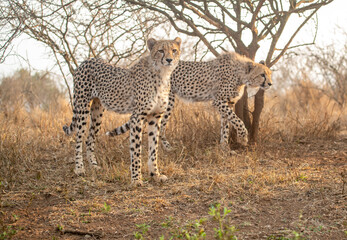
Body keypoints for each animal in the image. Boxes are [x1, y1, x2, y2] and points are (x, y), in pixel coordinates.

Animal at [63, 37, 182, 186]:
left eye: (174, 50)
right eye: (161, 50)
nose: (169, 60)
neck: (162, 74)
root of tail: (88, 59)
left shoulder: (155, 117)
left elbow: (153, 149)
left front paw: (155, 175)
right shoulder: (137, 117)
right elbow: (136, 151)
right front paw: (136, 179)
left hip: (97, 111)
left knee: (89, 139)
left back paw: (94, 166)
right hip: (82, 107)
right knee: (78, 138)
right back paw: (79, 168)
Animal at [107, 52, 274, 149]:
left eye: (270, 74)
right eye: (262, 75)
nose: (271, 84)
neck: (241, 74)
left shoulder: (228, 102)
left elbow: (226, 125)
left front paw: (224, 147)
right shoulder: (218, 101)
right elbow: (237, 120)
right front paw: (243, 137)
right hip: (167, 102)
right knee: (159, 126)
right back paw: (167, 147)